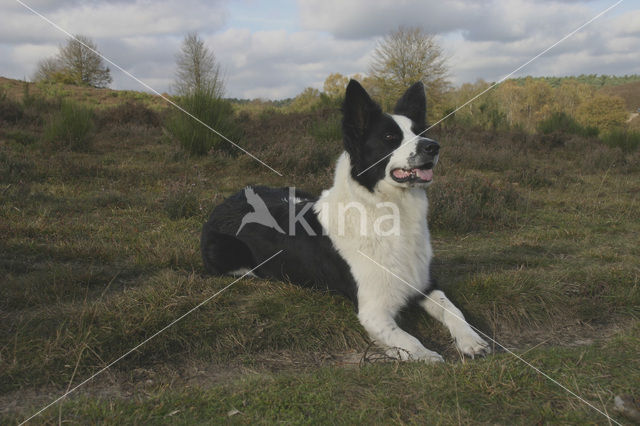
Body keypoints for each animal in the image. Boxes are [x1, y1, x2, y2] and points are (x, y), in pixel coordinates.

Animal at [201, 80, 490, 362]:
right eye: (389, 138)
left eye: (420, 132)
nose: (433, 146)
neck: (387, 211)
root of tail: (229, 199)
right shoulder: (372, 311)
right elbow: (408, 340)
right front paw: (426, 355)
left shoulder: (425, 284)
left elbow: (453, 311)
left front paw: (472, 341)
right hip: (226, 253)